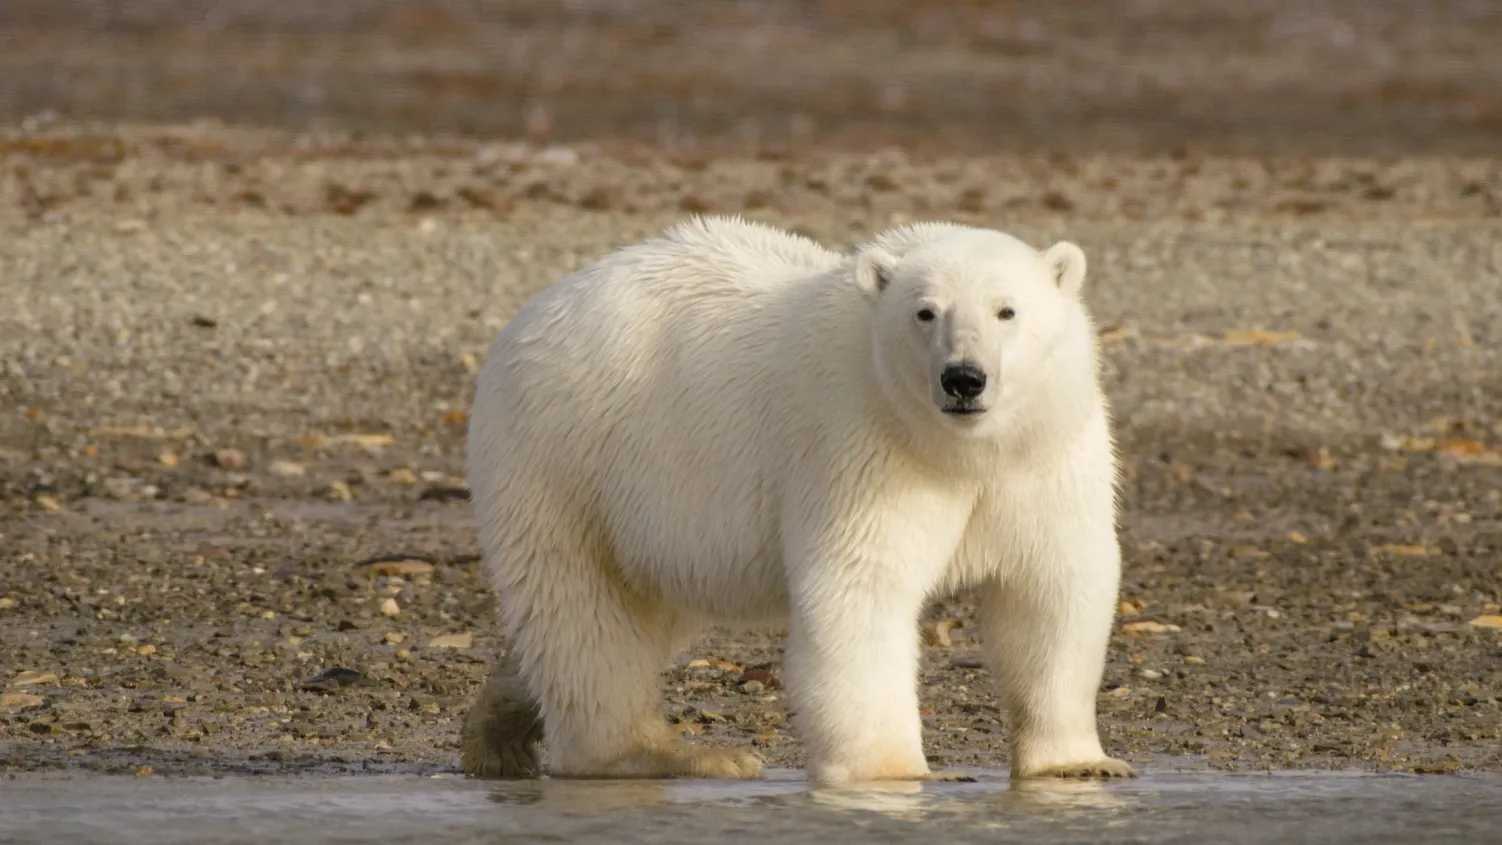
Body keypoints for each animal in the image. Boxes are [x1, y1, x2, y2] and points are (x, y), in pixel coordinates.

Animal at [462, 213, 1129, 786]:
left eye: (1006, 310)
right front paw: (894, 771)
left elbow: (1052, 589)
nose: (963, 378)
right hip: (564, 456)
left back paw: (500, 726)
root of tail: (526, 315)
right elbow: (861, 588)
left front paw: (1079, 764)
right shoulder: (863, 444)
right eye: (925, 312)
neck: (962, 450)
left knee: (629, 609)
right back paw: (674, 754)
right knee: (584, 614)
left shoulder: (1044, 459)